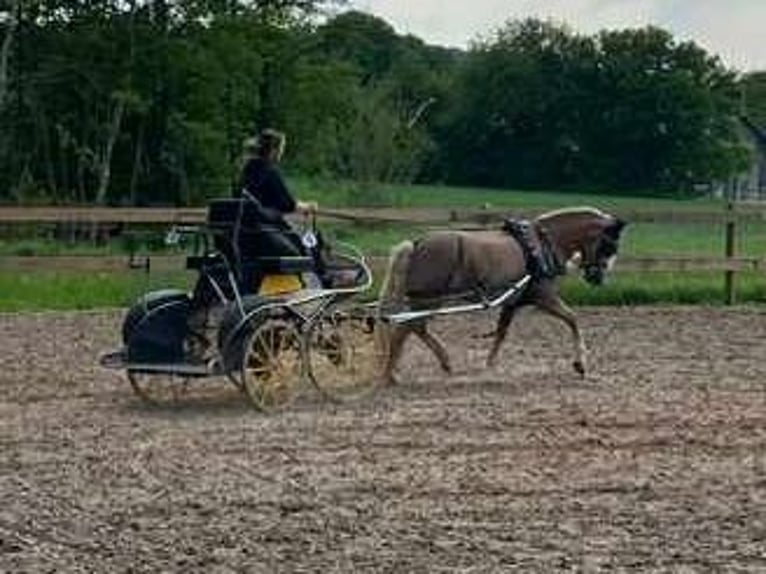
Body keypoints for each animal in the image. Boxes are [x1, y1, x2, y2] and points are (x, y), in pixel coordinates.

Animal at [380, 208, 628, 388]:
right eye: (609, 245)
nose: (597, 278)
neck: (543, 245)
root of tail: (417, 243)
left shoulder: (512, 303)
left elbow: (501, 333)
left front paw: (489, 366)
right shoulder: (544, 297)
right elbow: (572, 319)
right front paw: (580, 364)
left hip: (426, 300)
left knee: (414, 327)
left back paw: (442, 363)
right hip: (429, 299)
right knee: (405, 329)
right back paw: (392, 374)